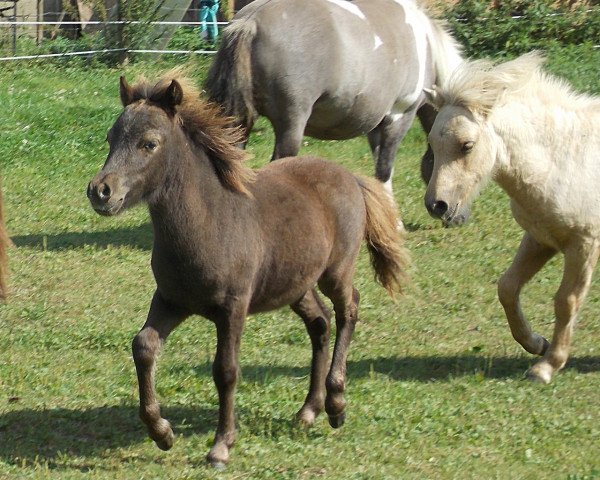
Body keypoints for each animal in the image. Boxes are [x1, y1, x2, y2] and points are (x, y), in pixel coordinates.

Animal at [88, 73, 408, 466]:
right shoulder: (171, 299)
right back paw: (309, 410)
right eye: (110, 138)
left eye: (149, 143)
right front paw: (161, 432)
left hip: (336, 271)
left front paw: (221, 446)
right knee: (320, 323)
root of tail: (350, 176)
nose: (101, 191)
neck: (210, 222)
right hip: (295, 283)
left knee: (349, 309)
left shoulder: (233, 308)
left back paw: (336, 404)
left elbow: (226, 371)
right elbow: (143, 346)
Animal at [206, 0, 468, 225]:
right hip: (291, 126)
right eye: (467, 147)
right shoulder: (399, 116)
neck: (426, 47)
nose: (453, 214)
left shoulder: (376, 127)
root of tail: (252, 21)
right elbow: (385, 169)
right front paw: (396, 223)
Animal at [422, 52, 600, 384]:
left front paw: (547, 366)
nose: (437, 205)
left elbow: (566, 301)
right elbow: (507, 287)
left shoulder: (584, 244)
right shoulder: (542, 239)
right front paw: (537, 344)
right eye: (432, 143)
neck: (565, 161)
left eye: (467, 145)